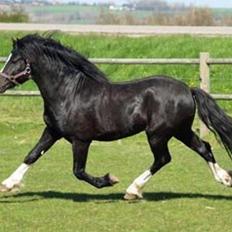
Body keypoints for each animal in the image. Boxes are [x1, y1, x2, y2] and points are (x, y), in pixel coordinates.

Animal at [0, 34, 232, 199]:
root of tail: (188, 89)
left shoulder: (81, 140)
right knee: (203, 148)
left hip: (158, 134)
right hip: (180, 130)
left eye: (16, 59)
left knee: (163, 158)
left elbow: (79, 171)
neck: (68, 93)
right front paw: (8, 184)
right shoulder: (52, 131)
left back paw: (132, 190)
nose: (0, 84)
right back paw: (224, 178)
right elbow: (31, 155)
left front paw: (110, 180)